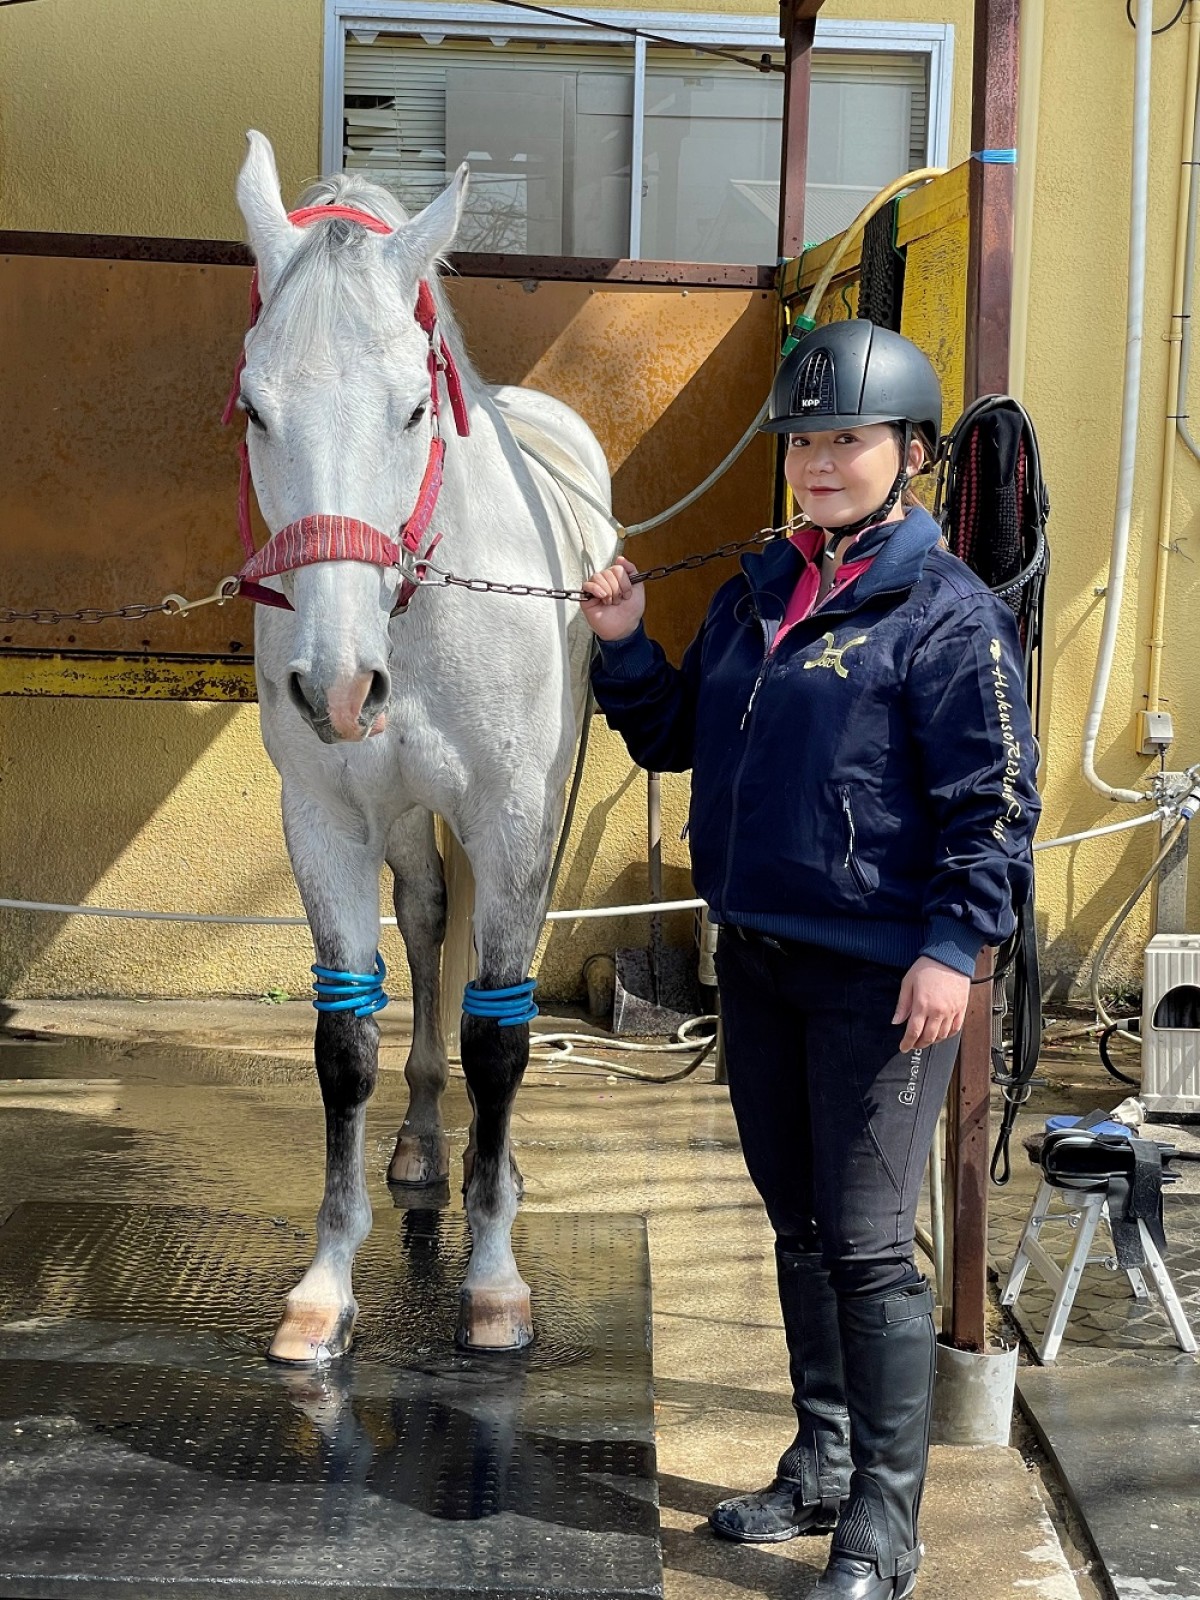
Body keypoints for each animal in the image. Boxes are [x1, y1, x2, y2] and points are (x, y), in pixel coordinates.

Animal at [236, 134, 620, 1363]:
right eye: (255, 408)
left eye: (414, 409)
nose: (338, 685)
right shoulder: (324, 819)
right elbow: (343, 1042)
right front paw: (324, 1287)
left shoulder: (512, 815)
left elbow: (502, 1038)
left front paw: (493, 1284)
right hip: (405, 819)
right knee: (427, 924)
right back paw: (418, 1138)